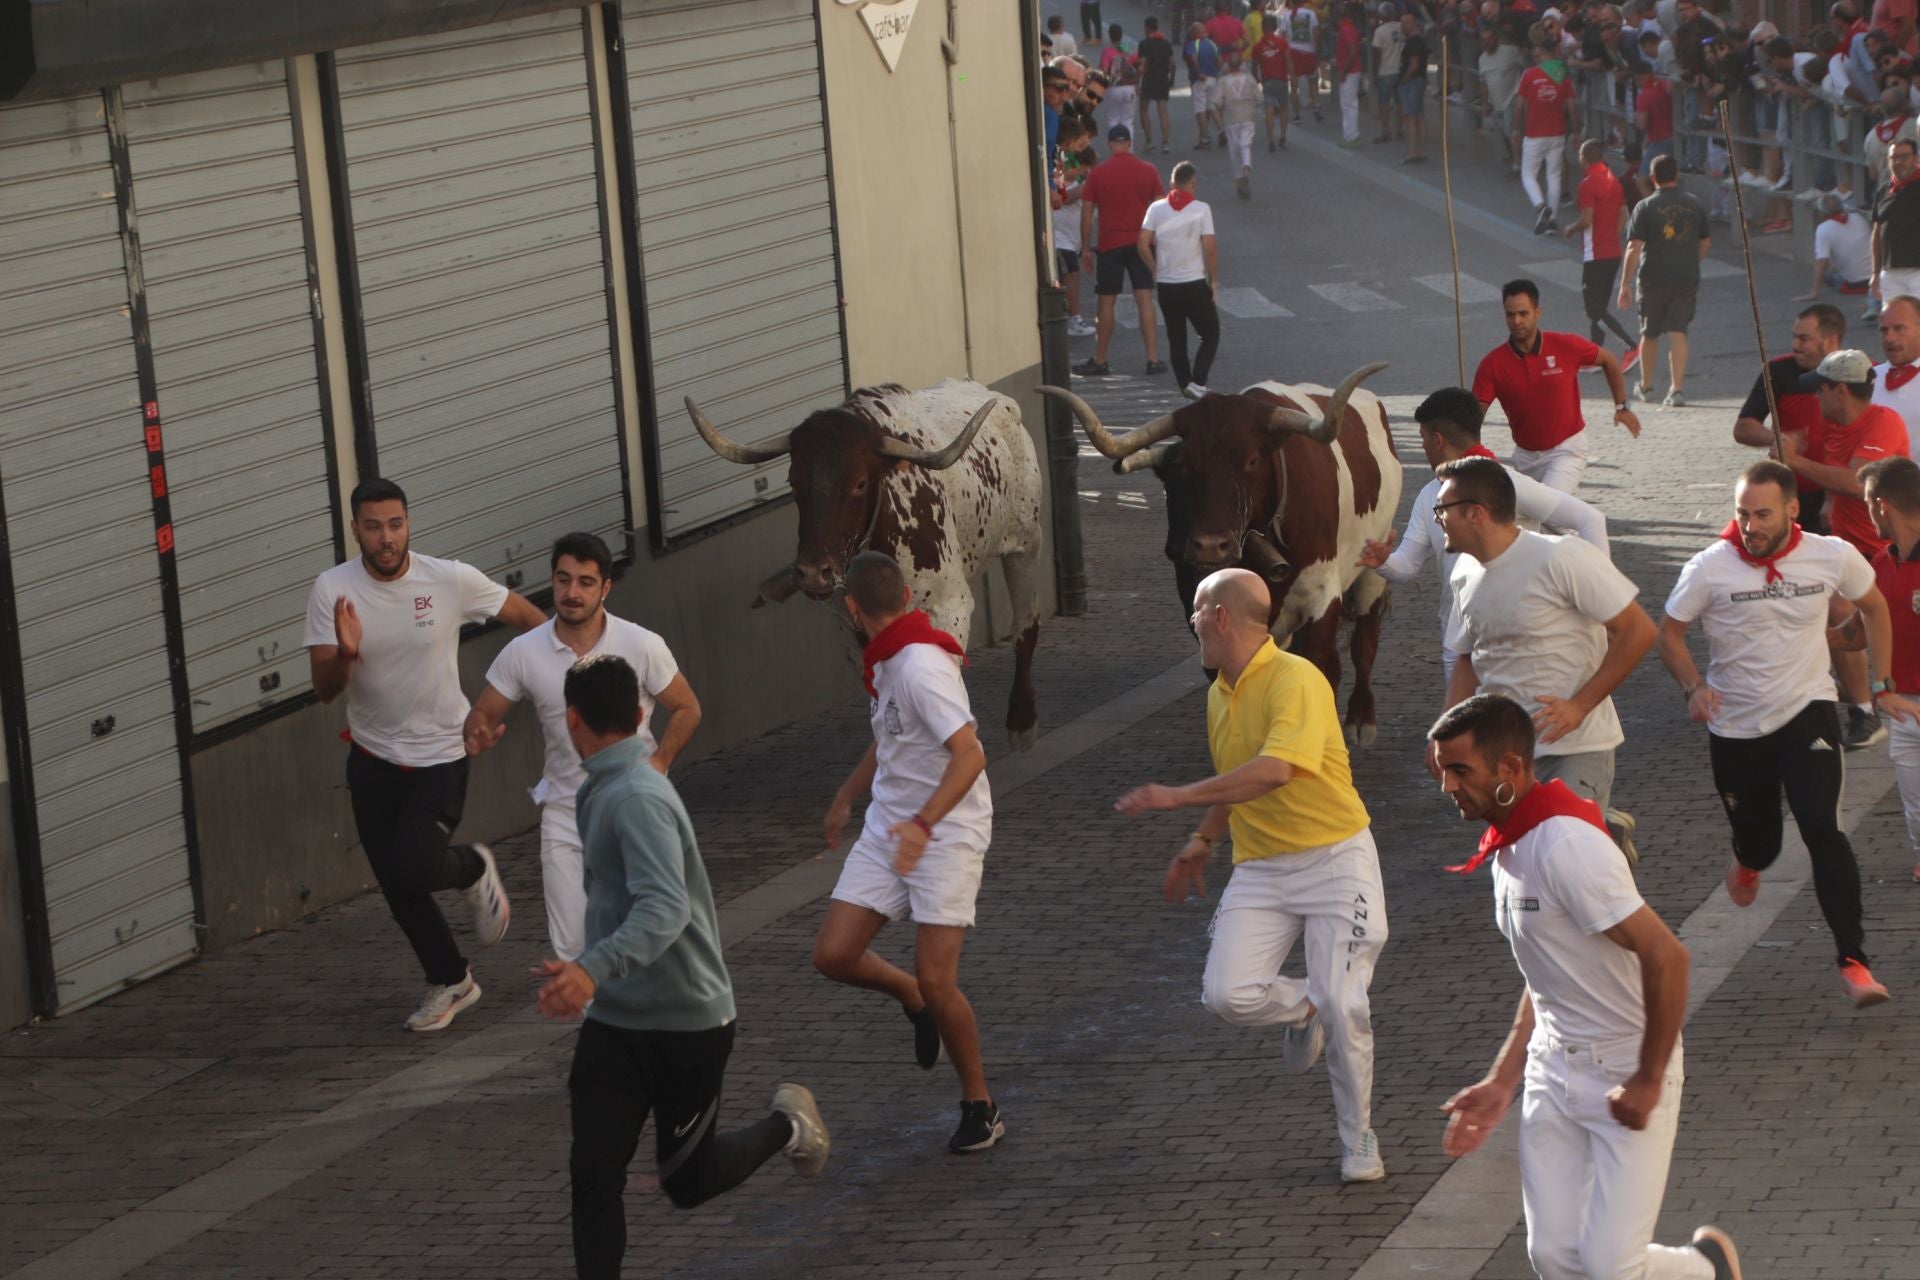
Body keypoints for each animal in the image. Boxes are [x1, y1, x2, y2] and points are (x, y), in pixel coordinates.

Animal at [691, 383, 1044, 752]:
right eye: (793, 482)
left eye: (860, 483)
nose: (814, 572)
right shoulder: (850, 629)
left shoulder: (950, 608)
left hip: (1026, 541)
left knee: (1026, 624)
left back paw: (1022, 722)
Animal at [1044, 360, 1405, 744]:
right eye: (1185, 464)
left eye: (1252, 460)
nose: (1208, 545)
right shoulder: (1197, 601)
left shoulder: (1322, 596)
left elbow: (1319, 666)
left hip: (1371, 571)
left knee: (1364, 642)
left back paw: (1360, 720)